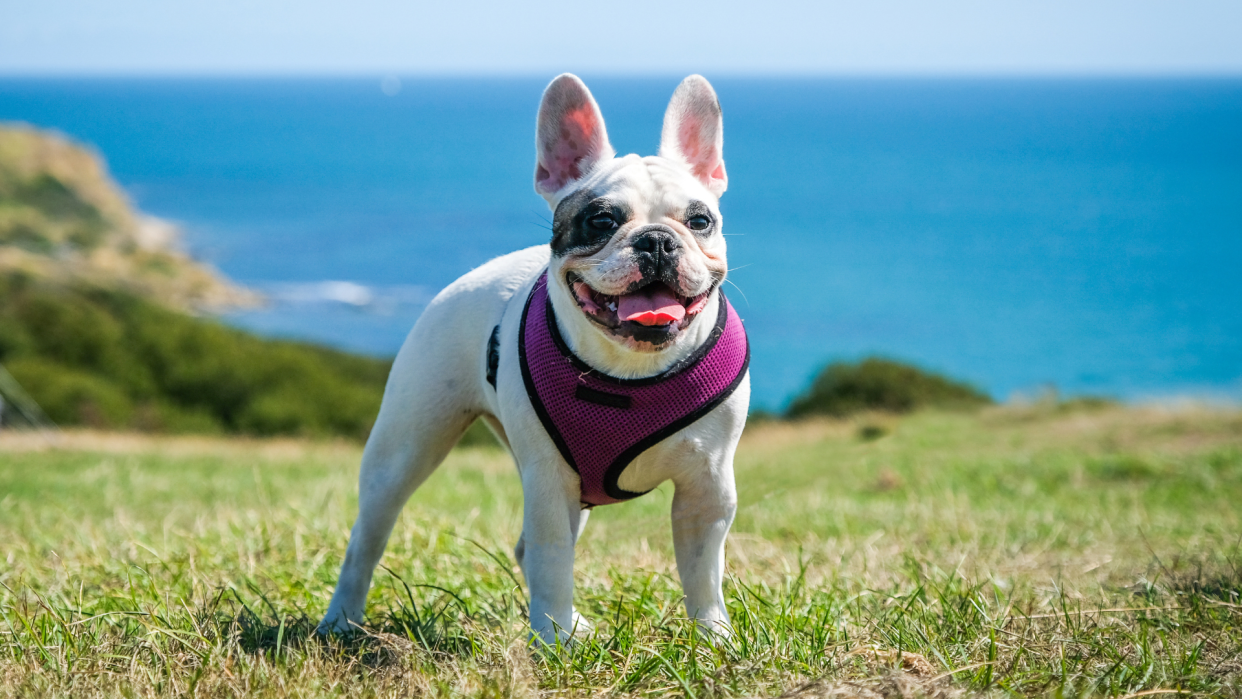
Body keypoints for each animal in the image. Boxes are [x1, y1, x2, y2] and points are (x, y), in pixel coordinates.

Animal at [320, 73, 745, 640]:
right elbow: (551, 557)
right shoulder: (548, 480)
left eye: (699, 221)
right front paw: (552, 641)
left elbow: (702, 571)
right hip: (405, 449)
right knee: (368, 538)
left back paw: (577, 624)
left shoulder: (707, 486)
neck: (630, 371)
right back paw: (340, 619)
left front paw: (714, 637)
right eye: (601, 220)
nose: (656, 240)